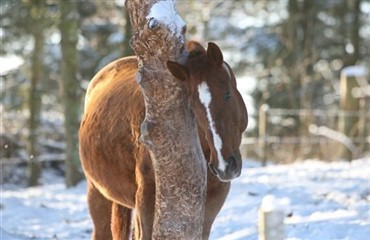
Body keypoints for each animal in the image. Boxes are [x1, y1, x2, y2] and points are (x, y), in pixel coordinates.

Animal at [79, 40, 249, 238]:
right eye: (193, 105)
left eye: (227, 94)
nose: (224, 166)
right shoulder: (146, 201)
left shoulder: (210, 208)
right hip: (97, 193)